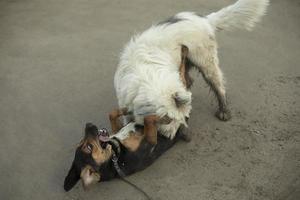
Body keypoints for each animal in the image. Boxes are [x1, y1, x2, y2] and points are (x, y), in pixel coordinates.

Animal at [112, 0, 270, 140]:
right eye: (167, 120)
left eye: (185, 117)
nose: (173, 137)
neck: (147, 75)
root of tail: (206, 20)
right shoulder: (125, 104)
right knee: (190, 80)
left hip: (207, 63)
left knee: (219, 86)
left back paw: (224, 111)